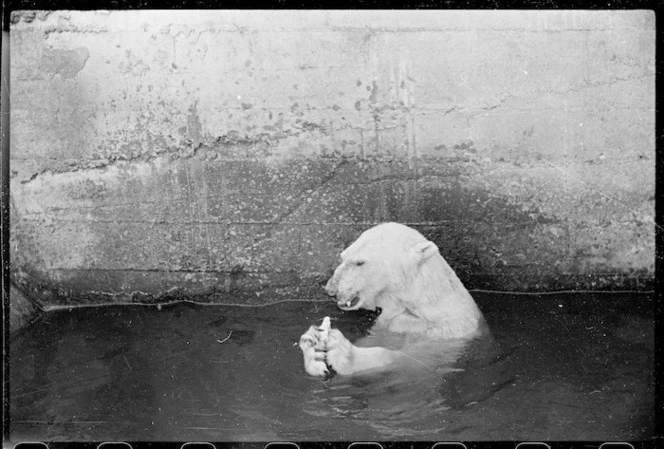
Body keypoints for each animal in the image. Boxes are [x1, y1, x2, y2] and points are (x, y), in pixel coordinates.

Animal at [298, 222, 486, 376]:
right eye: (343, 256)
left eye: (360, 262)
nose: (331, 290)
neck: (419, 308)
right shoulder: (389, 324)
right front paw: (313, 349)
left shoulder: (451, 331)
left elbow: (418, 357)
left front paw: (345, 354)